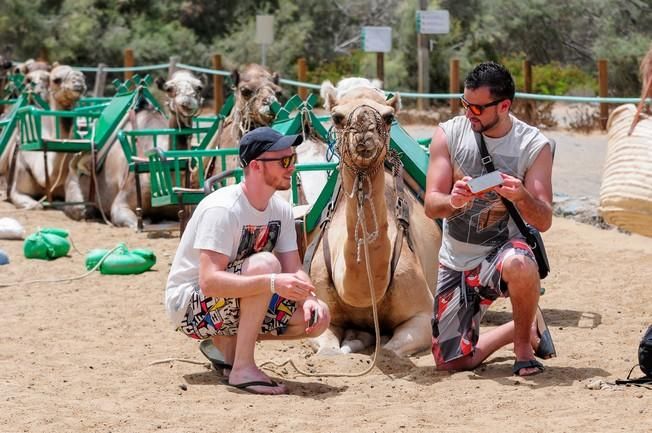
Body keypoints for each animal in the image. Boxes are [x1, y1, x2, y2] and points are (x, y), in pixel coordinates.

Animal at [308, 77, 440, 354]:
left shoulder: (423, 315)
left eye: (389, 117)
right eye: (336, 117)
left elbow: (389, 350)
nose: (364, 129)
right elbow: (328, 352)